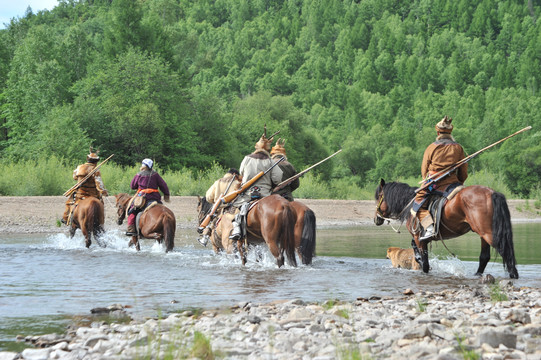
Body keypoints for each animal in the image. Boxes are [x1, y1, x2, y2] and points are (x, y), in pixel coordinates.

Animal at [374, 179, 516, 278]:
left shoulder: (419, 238)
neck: (410, 205)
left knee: (505, 252)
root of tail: (492, 192)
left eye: (379, 197)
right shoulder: (421, 239)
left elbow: (424, 262)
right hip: (483, 234)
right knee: (484, 257)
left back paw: (513, 275)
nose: (376, 219)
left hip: (489, 234)